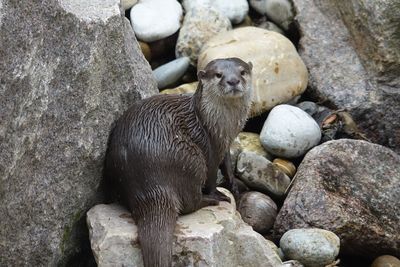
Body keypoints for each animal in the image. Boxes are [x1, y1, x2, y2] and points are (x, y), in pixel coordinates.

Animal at [104, 57, 252, 266]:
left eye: (242, 71)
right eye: (218, 75)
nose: (233, 81)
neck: (221, 126)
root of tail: (151, 190)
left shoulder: (225, 143)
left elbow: (228, 165)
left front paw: (234, 186)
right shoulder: (212, 146)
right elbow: (213, 176)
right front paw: (219, 192)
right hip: (190, 158)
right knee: (191, 202)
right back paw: (211, 200)